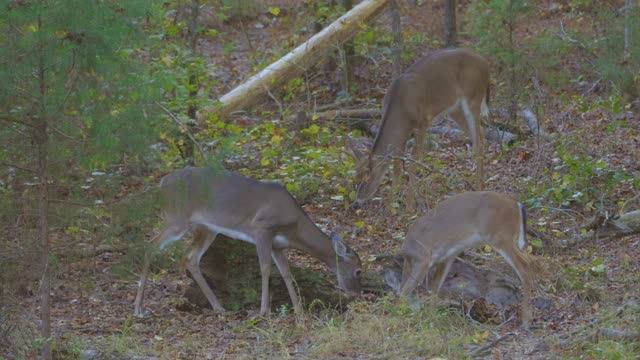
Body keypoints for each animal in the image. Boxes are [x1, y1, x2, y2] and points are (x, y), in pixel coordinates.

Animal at [132, 167, 362, 316]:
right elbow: (265, 269)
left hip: (207, 228)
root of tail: (162, 183)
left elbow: (286, 272)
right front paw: (263, 312)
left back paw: (219, 308)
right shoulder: (262, 228)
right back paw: (138, 308)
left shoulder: (278, 245)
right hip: (177, 218)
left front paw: (299, 312)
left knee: (190, 258)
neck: (294, 226)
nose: (355, 293)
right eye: (359, 271)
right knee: (150, 245)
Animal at [350, 48, 490, 211]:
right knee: (481, 133)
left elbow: (415, 160)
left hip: (474, 97)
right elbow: (397, 166)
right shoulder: (402, 132)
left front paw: (410, 206)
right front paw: (390, 206)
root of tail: (485, 63)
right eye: (356, 179)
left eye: (368, 179)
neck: (400, 107)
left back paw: (479, 187)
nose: (356, 203)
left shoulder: (423, 122)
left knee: (478, 140)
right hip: (455, 109)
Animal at [396, 191, 536, 330]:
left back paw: (525, 322)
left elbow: (405, 291)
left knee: (525, 266)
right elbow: (434, 290)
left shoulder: (423, 259)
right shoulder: (446, 258)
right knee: (529, 260)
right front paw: (431, 319)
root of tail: (517, 204)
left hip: (500, 237)